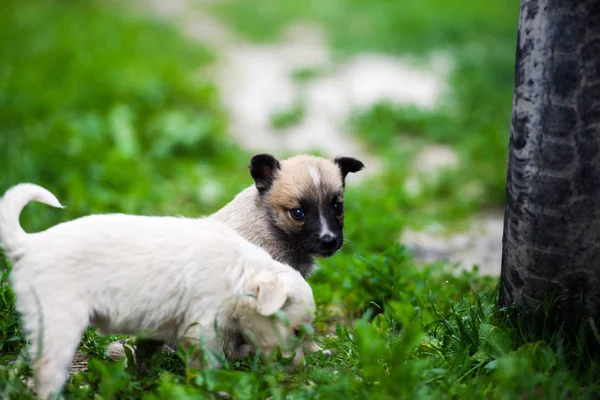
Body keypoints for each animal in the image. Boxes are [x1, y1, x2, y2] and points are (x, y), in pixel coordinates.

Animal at [1, 184, 318, 400]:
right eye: (295, 331)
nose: (300, 368)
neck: (240, 271)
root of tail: (30, 245)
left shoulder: (159, 326)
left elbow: (142, 353)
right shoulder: (201, 327)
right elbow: (208, 364)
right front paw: (212, 388)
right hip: (60, 322)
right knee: (47, 370)